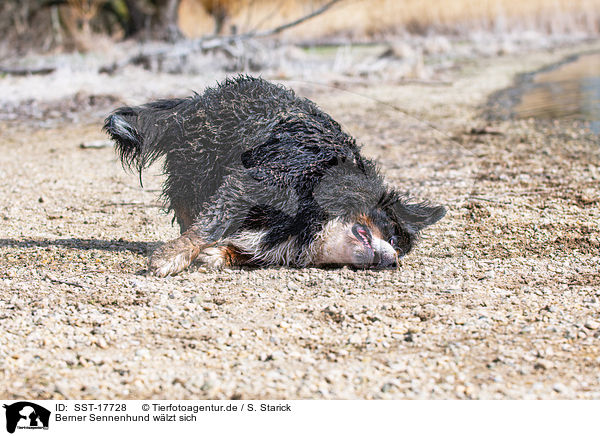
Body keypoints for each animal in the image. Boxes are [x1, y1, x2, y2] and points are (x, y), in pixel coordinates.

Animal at [103, 76, 442, 276]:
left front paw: (218, 255)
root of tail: (194, 102)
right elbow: (210, 225)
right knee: (189, 206)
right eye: (394, 237)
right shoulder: (258, 182)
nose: (393, 262)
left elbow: (243, 251)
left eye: (400, 249)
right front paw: (170, 257)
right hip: (198, 165)